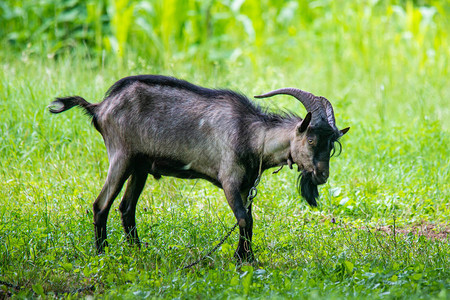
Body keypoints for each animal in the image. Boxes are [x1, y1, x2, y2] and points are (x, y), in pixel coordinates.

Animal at [48, 75, 348, 260]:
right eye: (311, 139)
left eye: (332, 146)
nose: (322, 175)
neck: (252, 134)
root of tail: (100, 107)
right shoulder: (229, 180)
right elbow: (244, 219)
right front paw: (243, 259)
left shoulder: (247, 186)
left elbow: (250, 220)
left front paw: (246, 256)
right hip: (121, 157)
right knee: (101, 205)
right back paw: (103, 254)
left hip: (140, 165)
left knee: (126, 207)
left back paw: (138, 251)